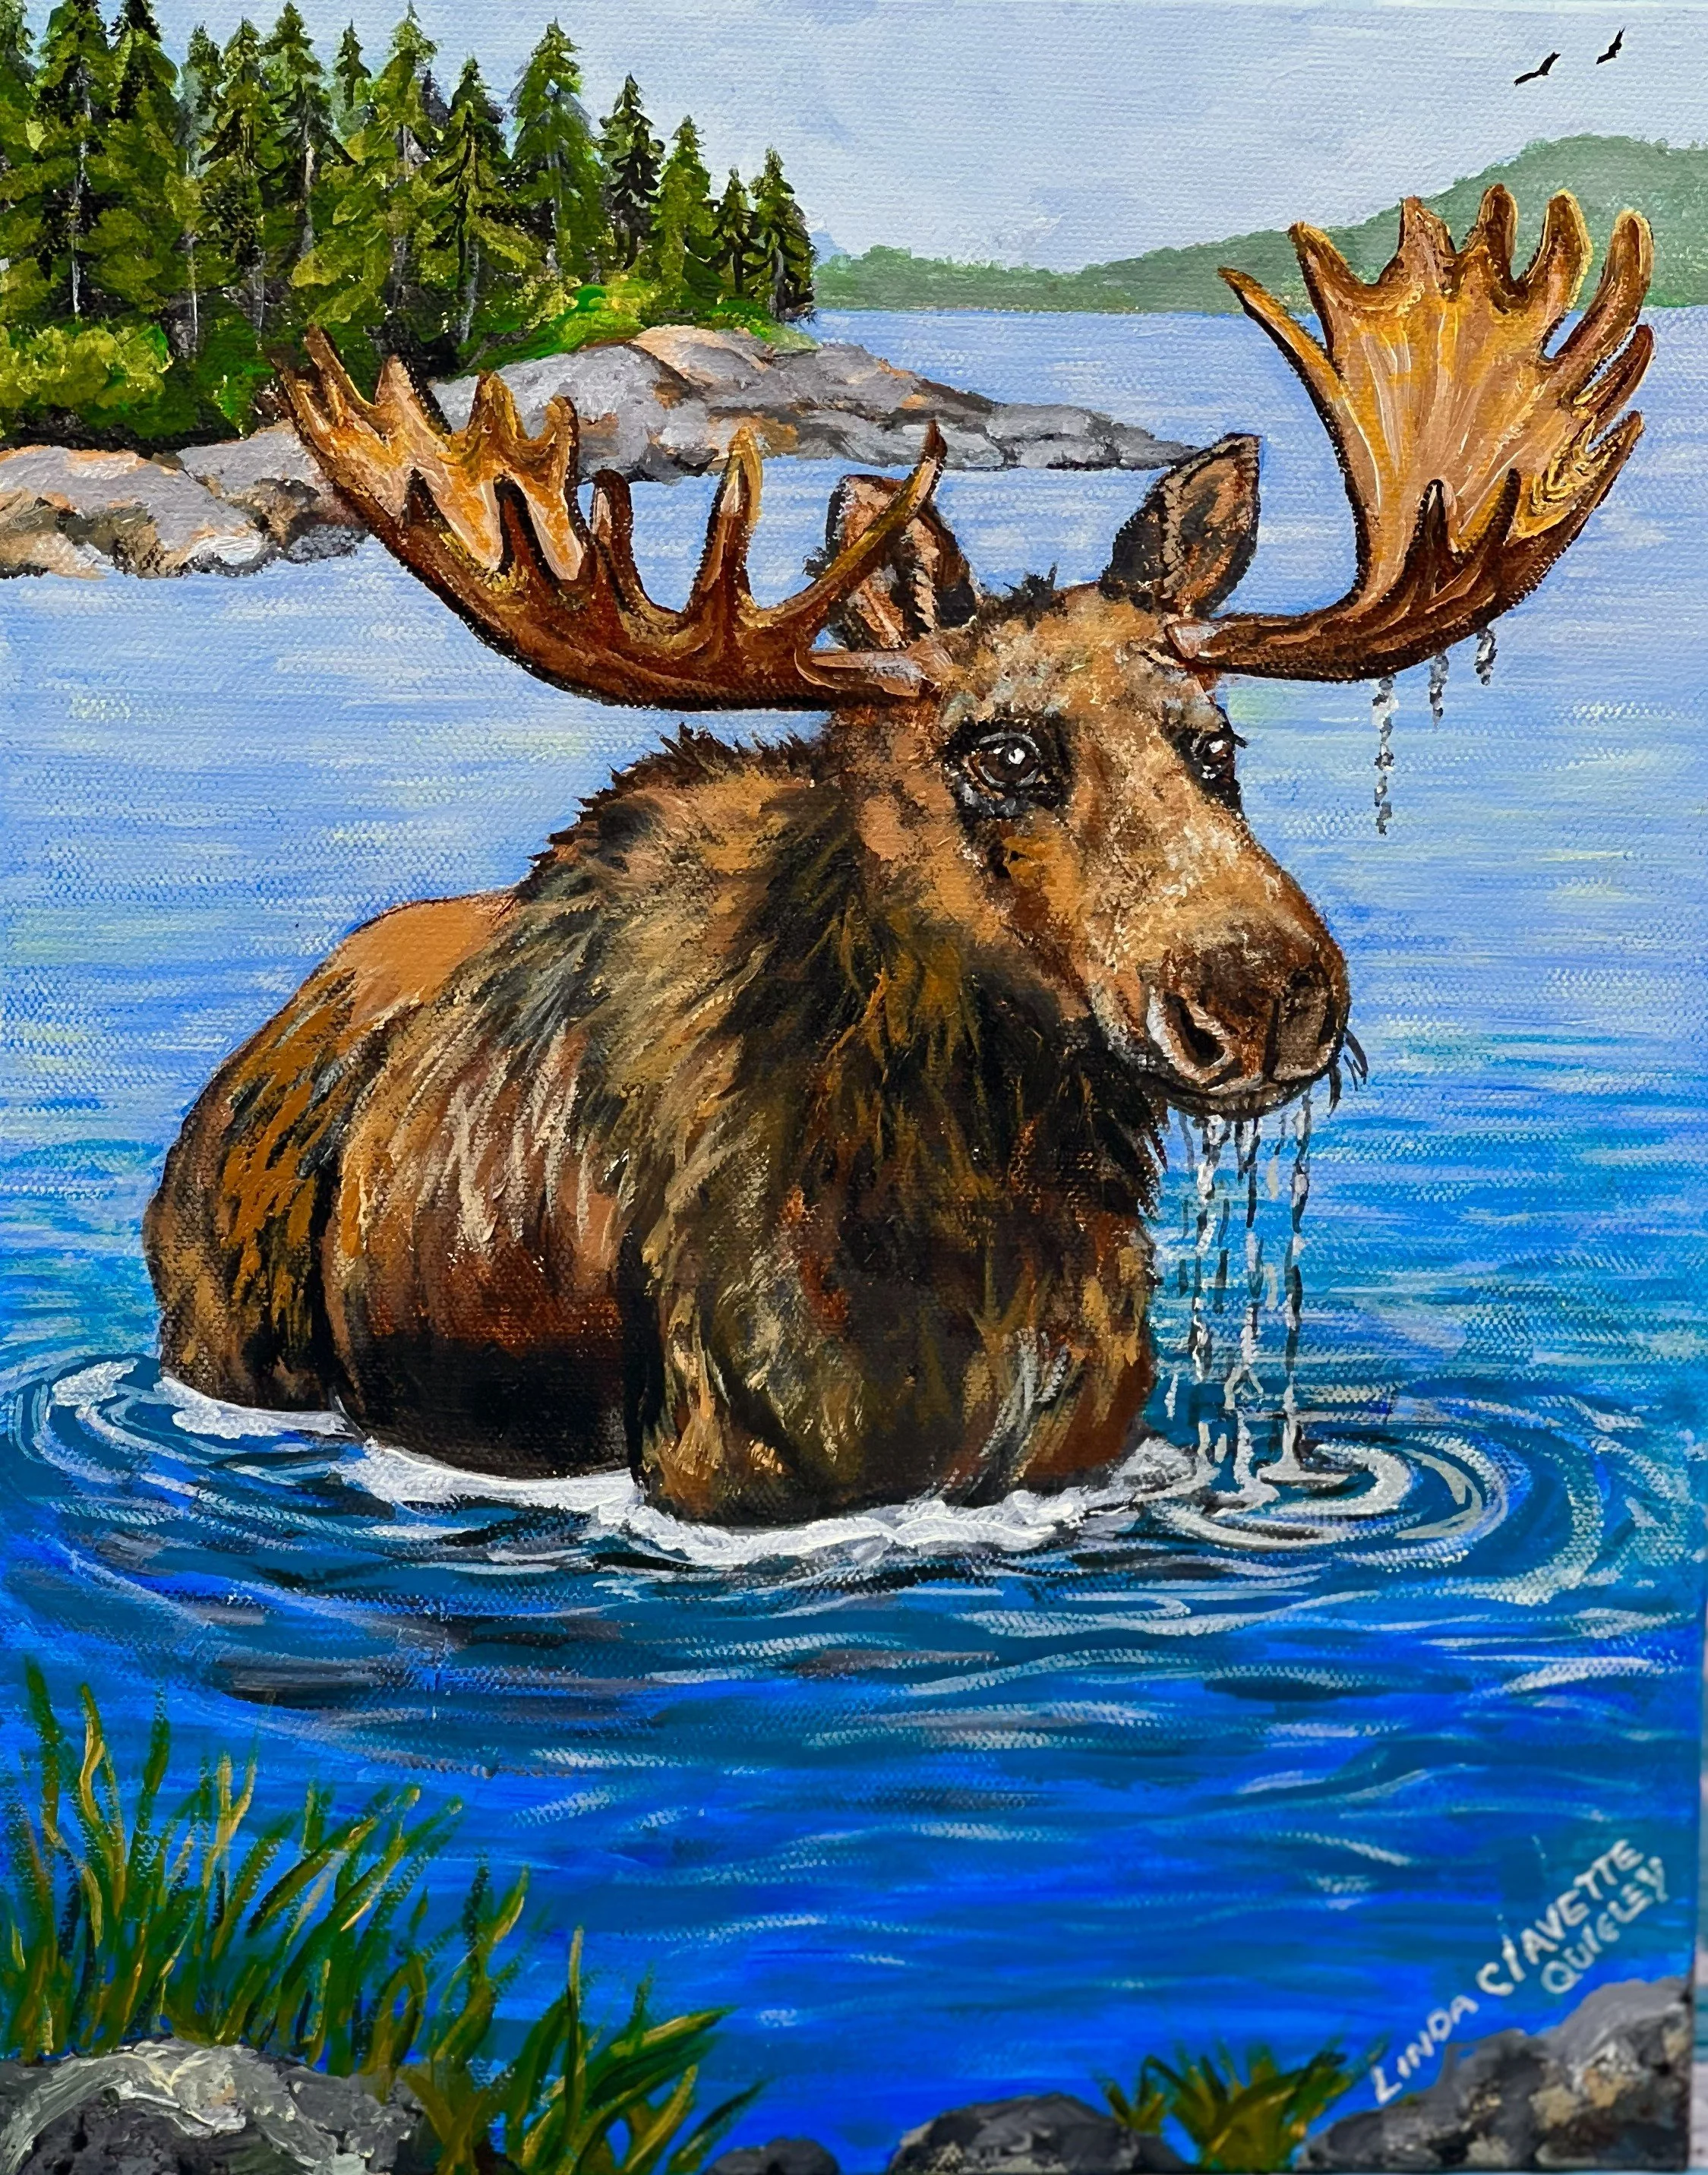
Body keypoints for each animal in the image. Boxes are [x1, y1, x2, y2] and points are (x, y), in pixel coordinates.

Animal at [144, 187, 1652, 1526]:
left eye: (1215, 745)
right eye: (1004, 753)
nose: (1266, 993)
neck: (972, 1209)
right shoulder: (734, 1469)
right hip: (224, 1332)